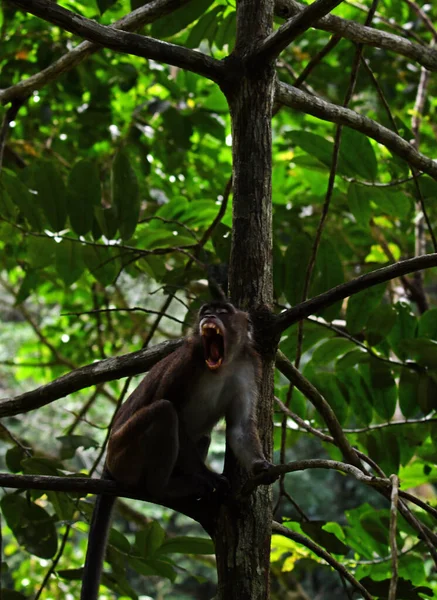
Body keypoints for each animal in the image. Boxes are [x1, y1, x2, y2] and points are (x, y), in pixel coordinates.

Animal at [80, 302, 270, 596]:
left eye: (223, 311)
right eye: (205, 310)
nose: (208, 316)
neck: (222, 365)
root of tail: (108, 464)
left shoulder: (249, 367)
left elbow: (239, 428)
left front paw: (261, 467)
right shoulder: (186, 363)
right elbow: (171, 407)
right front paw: (209, 477)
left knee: (201, 437)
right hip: (124, 454)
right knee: (164, 412)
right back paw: (165, 488)